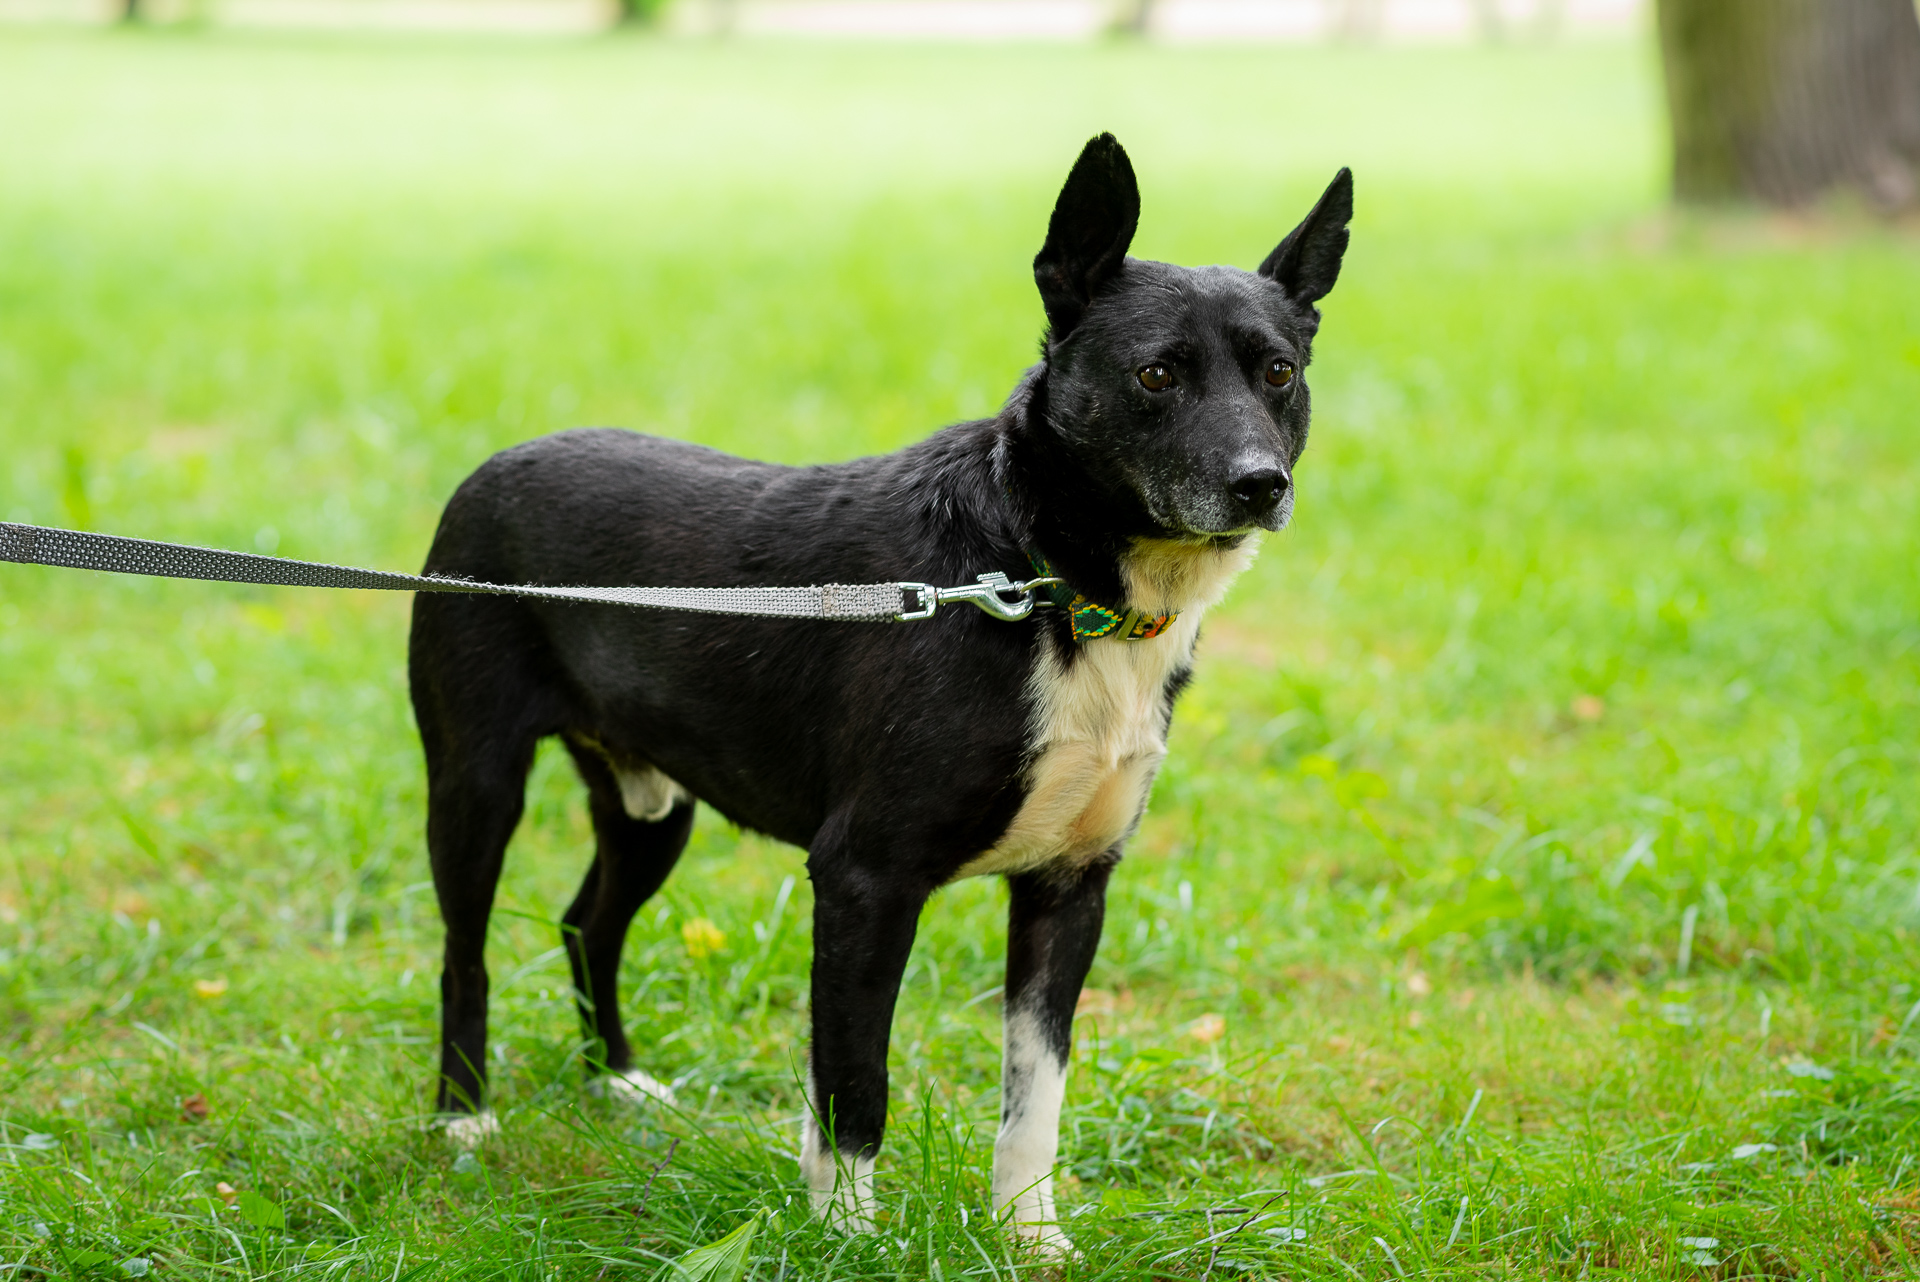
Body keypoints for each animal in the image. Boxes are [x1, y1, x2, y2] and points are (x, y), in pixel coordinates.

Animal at [408, 135, 1351, 1243]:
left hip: (655, 808)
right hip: (475, 783)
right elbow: (855, 1084)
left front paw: (1028, 1235)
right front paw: (849, 1235)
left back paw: (618, 1079)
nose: (1261, 484)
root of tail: (493, 462)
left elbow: (1035, 1097)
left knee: (585, 921)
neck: (1038, 575)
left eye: (1278, 372)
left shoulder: (1070, 887)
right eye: (1156, 373)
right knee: (464, 950)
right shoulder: (863, 878)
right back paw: (464, 1118)